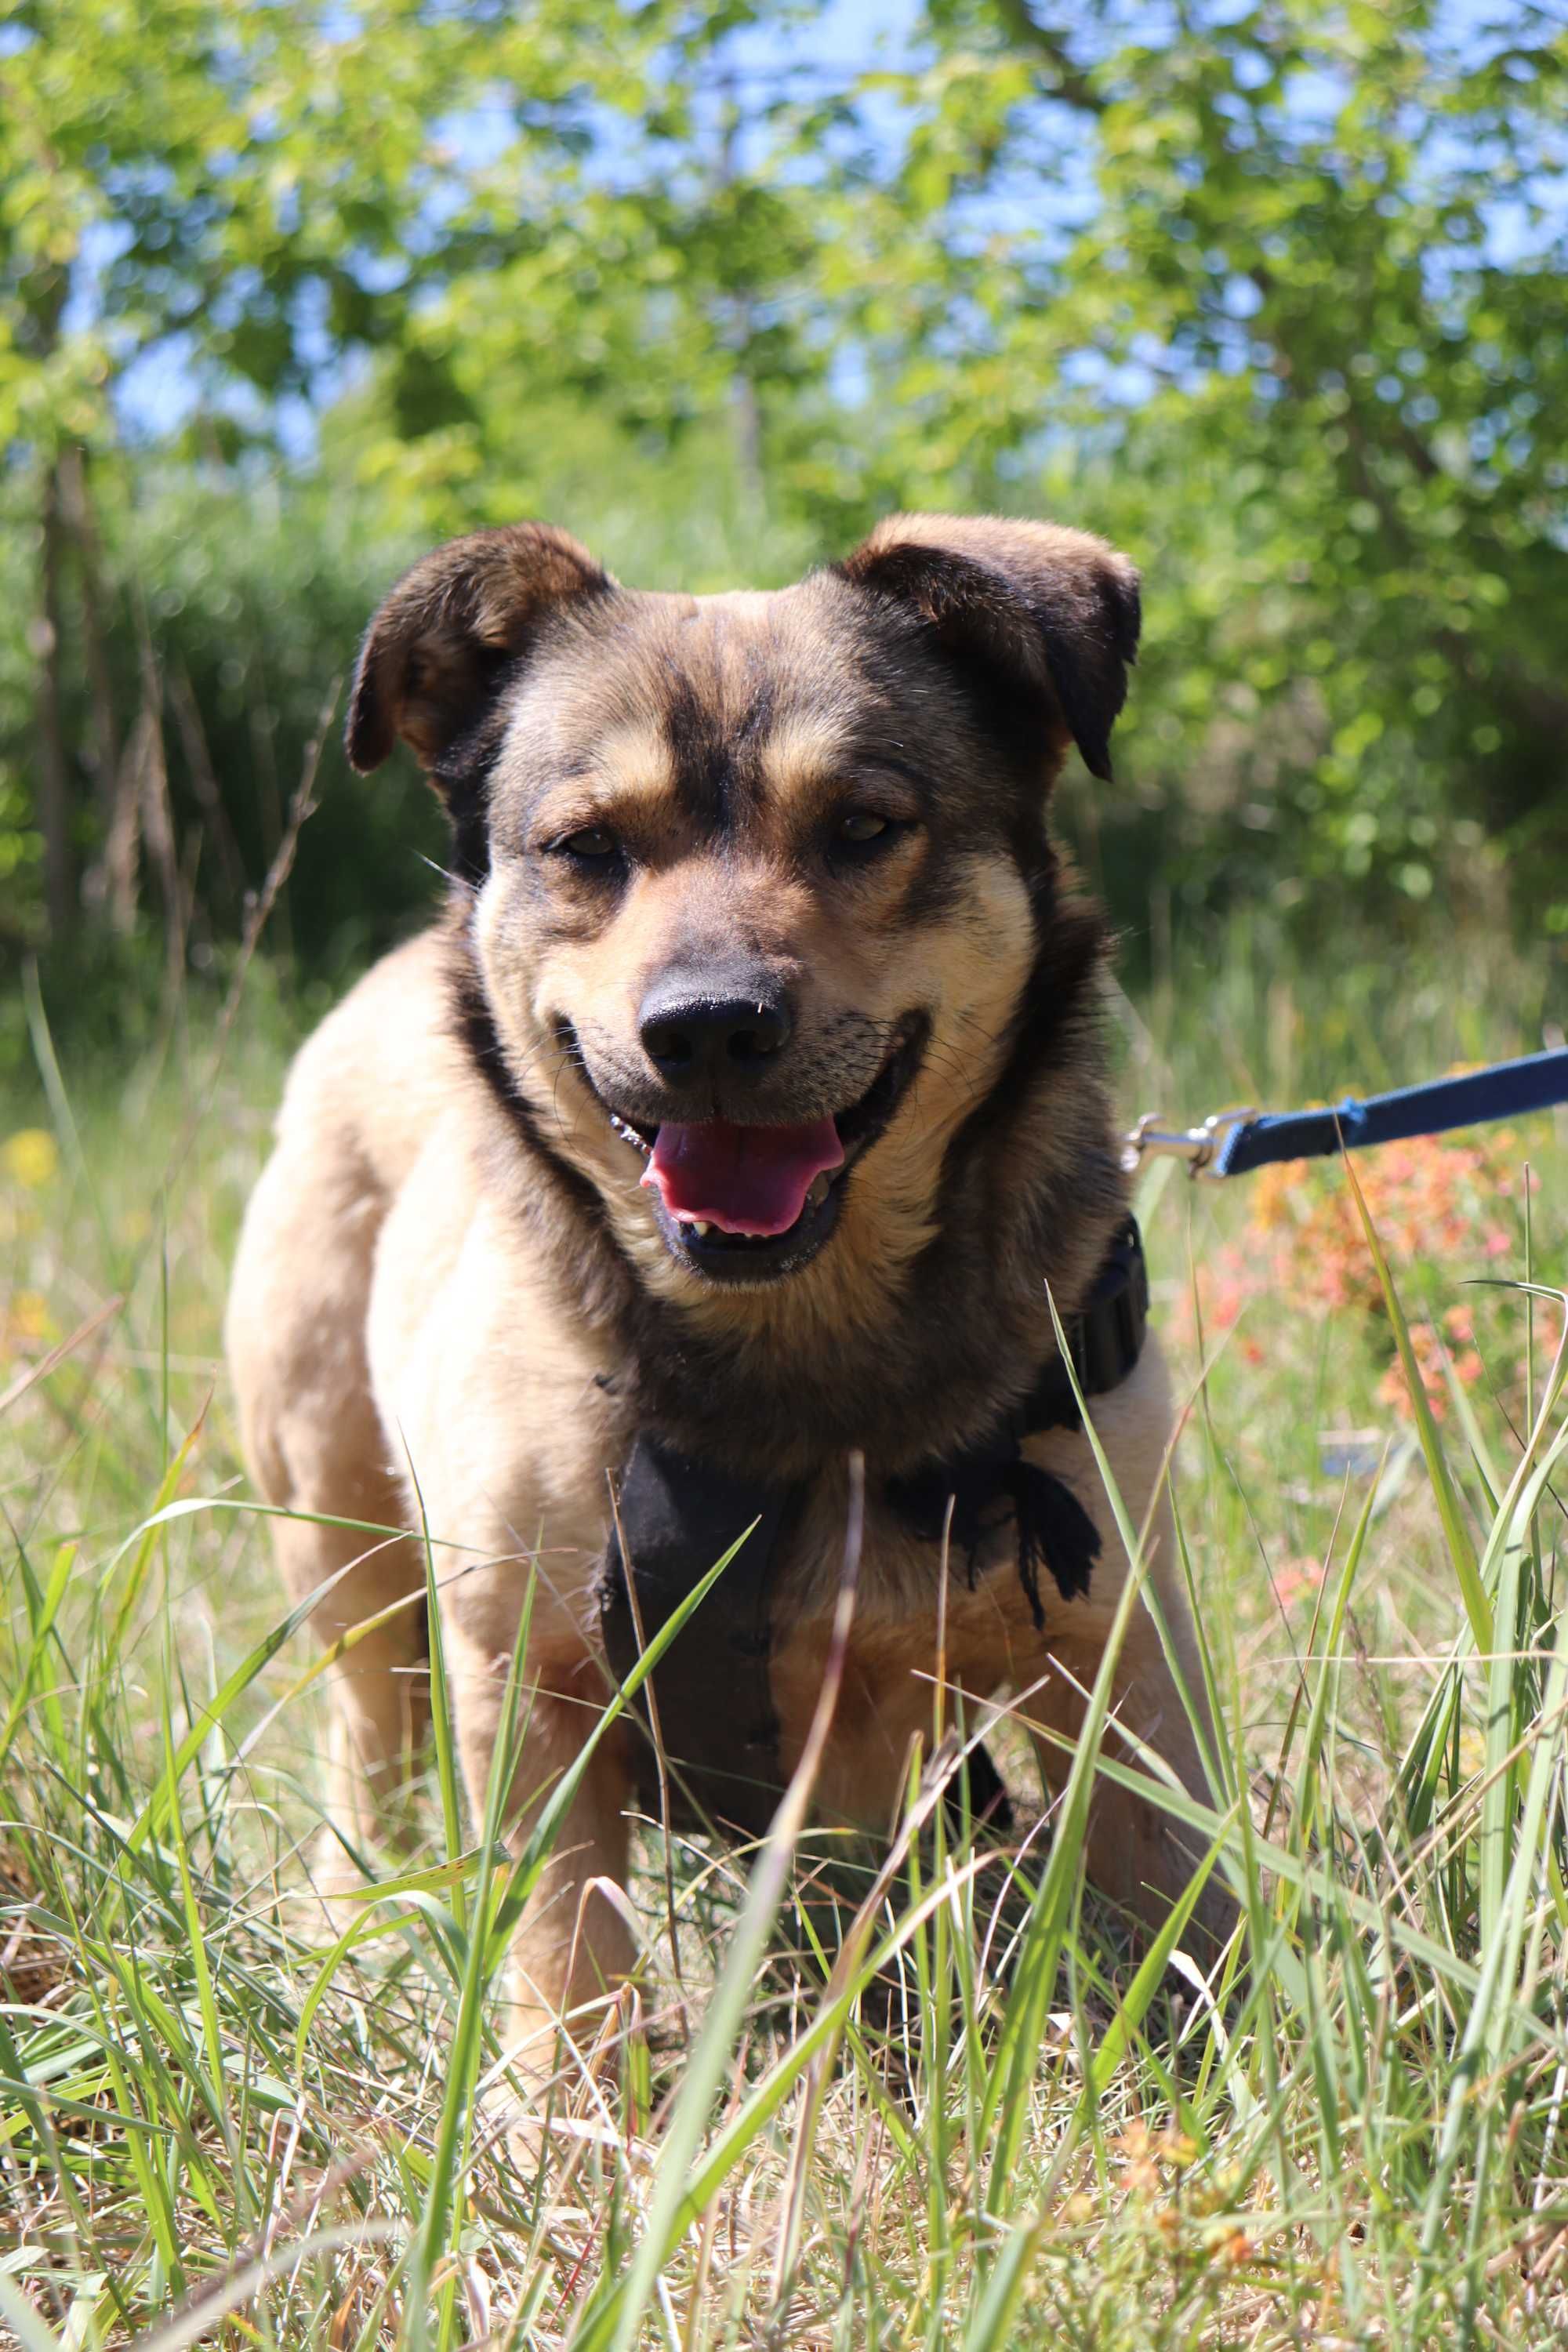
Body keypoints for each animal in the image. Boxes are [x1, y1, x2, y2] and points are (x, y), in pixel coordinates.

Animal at [227, 510, 1232, 2079]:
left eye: (864, 827)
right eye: (587, 848)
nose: (704, 1028)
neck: (797, 1354)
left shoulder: (1115, 1649)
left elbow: (1174, 1906)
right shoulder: (530, 1675)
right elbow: (564, 1952)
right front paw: (558, 2121)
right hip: (340, 1539)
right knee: (365, 1730)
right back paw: (353, 1911)